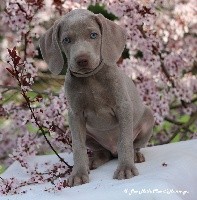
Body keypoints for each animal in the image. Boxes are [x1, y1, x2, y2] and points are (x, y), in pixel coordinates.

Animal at [39, 9, 155, 188]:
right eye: (66, 40)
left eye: (93, 35)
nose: (82, 60)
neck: (91, 78)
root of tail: (113, 151)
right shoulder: (75, 115)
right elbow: (78, 147)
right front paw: (78, 174)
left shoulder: (123, 107)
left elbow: (125, 141)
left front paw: (125, 168)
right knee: (103, 152)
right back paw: (94, 160)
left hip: (148, 116)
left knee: (133, 145)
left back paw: (135, 156)